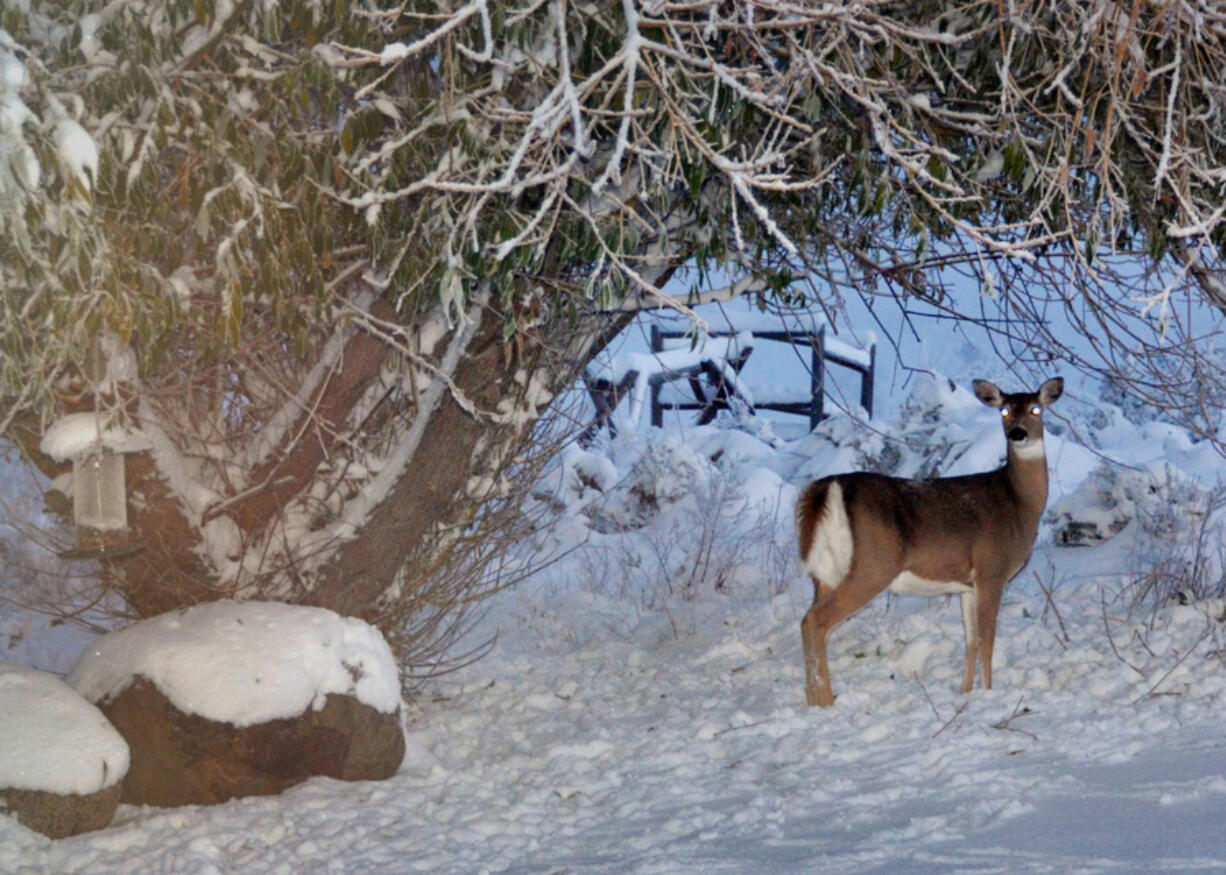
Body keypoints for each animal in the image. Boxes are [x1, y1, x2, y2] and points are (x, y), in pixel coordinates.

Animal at [794, 377, 1064, 705]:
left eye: (1036, 409)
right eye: (1004, 411)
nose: (1018, 433)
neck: (1018, 503)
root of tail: (826, 488)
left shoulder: (968, 583)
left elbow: (971, 639)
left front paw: (965, 692)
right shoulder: (992, 570)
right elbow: (987, 637)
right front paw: (988, 692)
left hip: (826, 572)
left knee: (809, 622)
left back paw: (813, 701)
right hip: (873, 565)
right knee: (815, 621)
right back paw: (828, 702)